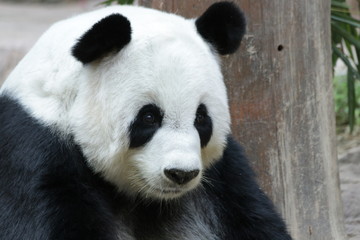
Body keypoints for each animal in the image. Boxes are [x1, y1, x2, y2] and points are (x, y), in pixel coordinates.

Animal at [0, 2, 292, 240]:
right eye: (149, 117)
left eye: (201, 118)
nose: (181, 174)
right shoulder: (33, 152)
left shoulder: (223, 179)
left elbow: (251, 217)